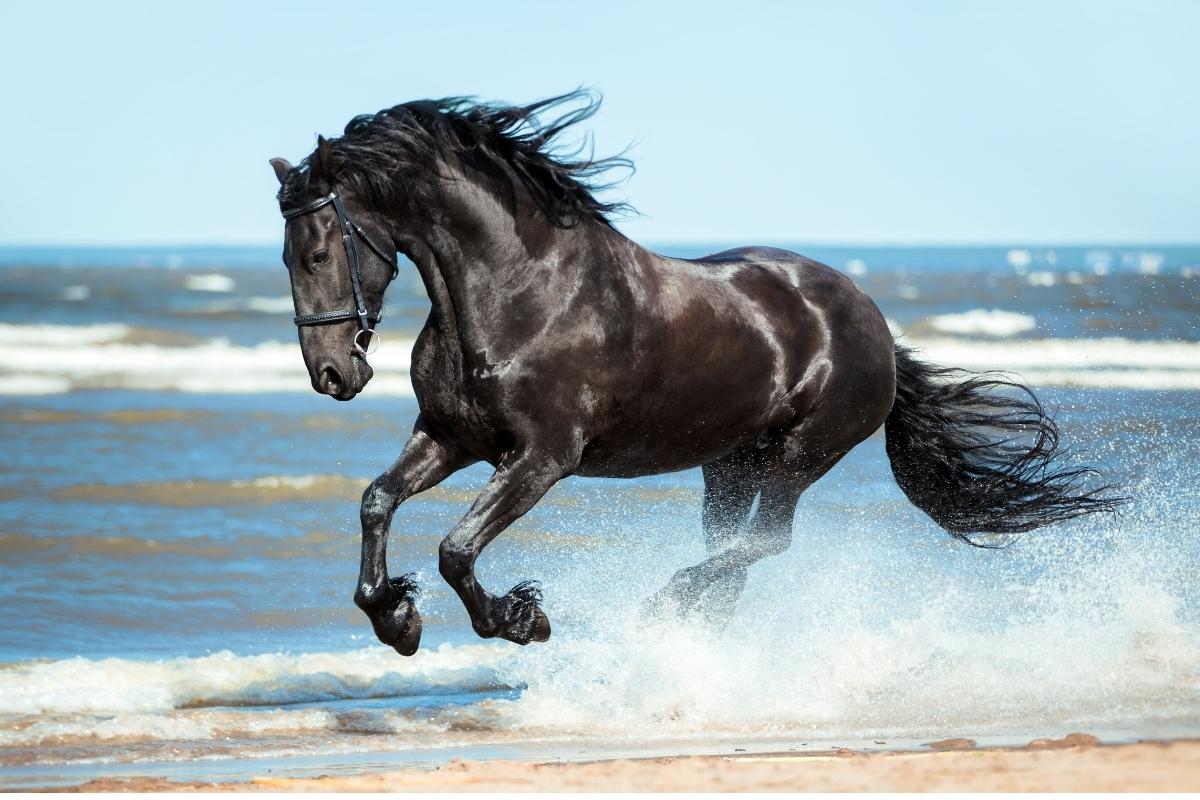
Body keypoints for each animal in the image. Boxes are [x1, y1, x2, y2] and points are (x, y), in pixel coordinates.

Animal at [267, 90, 1118, 652]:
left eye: (317, 251)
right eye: (285, 255)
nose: (332, 375)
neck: (518, 292)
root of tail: (873, 321)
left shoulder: (542, 458)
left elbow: (456, 548)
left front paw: (519, 618)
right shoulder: (450, 437)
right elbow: (377, 501)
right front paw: (395, 618)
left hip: (801, 454)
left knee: (765, 543)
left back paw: (664, 607)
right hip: (729, 464)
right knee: (734, 553)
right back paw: (691, 632)